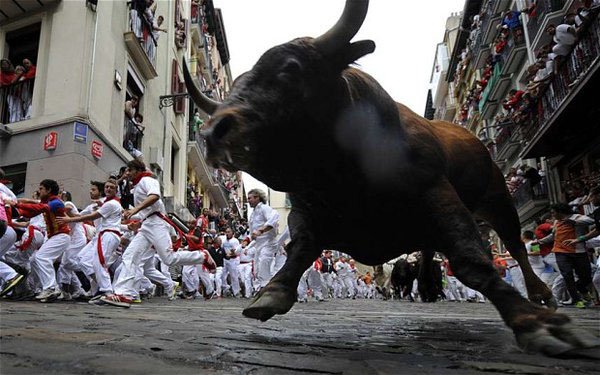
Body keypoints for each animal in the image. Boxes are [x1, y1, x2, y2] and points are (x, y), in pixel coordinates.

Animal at [184, 0, 600, 358]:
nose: (213, 131)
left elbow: (473, 261)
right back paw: (429, 287)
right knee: (434, 252)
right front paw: (272, 292)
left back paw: (540, 295)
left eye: (290, 67)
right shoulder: (306, 211)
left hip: (498, 201)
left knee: (516, 248)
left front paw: (537, 324)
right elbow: (300, 250)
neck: (344, 175)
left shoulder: (437, 194)